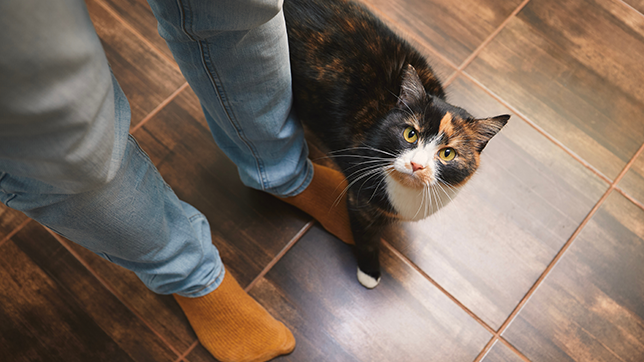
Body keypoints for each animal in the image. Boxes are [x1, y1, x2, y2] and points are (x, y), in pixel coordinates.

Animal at [282, 0, 508, 288]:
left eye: (447, 153)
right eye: (410, 134)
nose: (416, 165)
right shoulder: (361, 198)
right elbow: (367, 236)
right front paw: (369, 273)